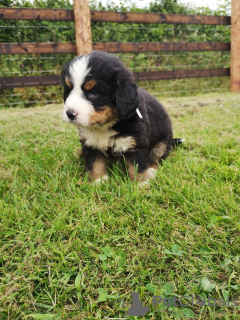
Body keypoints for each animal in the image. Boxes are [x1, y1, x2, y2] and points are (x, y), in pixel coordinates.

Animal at [61, 51, 182, 184]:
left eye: (94, 92)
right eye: (69, 90)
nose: (69, 113)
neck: (105, 125)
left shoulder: (136, 142)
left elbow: (138, 165)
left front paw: (141, 183)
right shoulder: (90, 142)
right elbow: (94, 164)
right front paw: (98, 182)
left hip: (162, 142)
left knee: (157, 158)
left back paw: (151, 171)